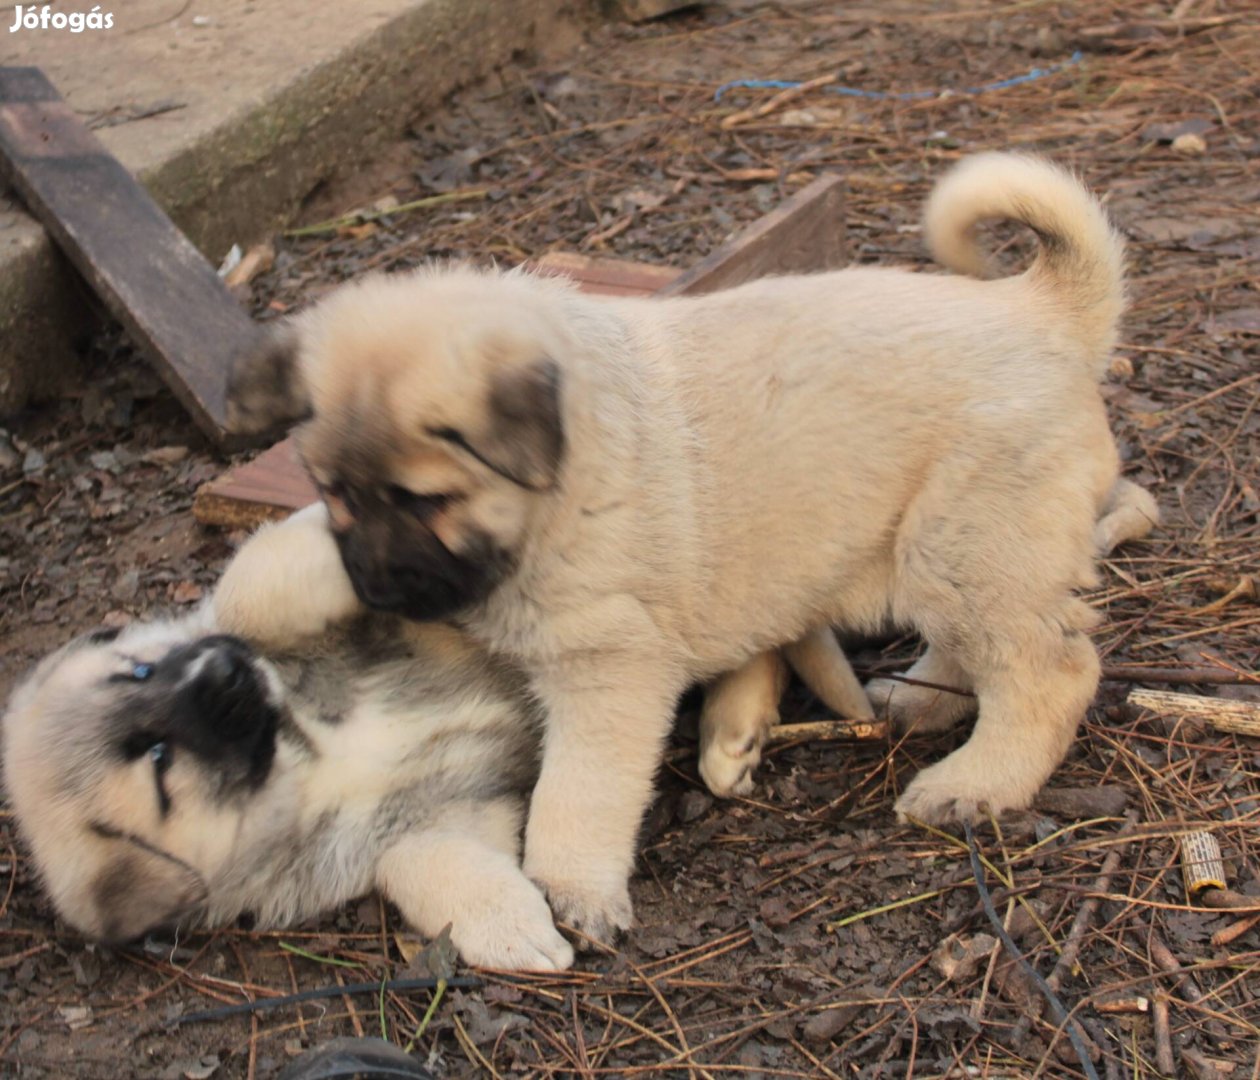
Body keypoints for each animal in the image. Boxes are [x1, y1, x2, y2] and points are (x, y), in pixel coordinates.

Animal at [2, 506, 574, 967]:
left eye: (138, 671)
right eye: (159, 760)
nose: (227, 670)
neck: (308, 750)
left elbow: (246, 592)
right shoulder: (426, 819)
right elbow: (425, 864)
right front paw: (512, 927)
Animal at [224, 153, 1154, 942]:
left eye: (429, 501)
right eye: (334, 493)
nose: (375, 588)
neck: (564, 478)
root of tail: (1040, 309)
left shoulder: (607, 669)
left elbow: (577, 790)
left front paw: (571, 889)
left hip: (968, 544)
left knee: (1049, 670)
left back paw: (976, 783)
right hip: (952, 555)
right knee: (983, 653)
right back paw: (920, 701)